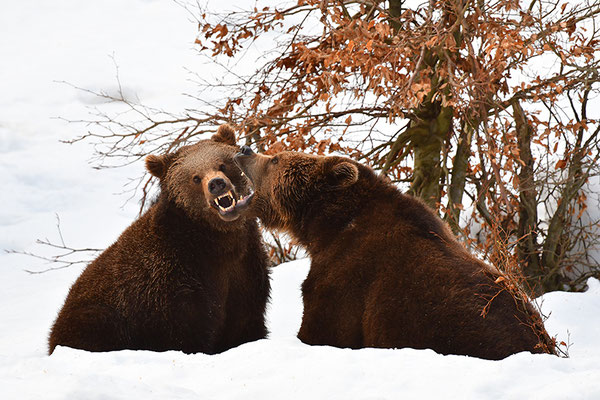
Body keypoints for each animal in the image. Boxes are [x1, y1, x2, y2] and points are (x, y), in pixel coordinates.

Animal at [49, 126, 270, 354]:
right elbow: (184, 333)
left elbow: (246, 322)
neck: (217, 242)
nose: (216, 184)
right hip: (96, 317)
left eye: (222, 164)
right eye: (195, 177)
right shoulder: (171, 285)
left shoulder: (245, 272)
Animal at [237, 146, 556, 360]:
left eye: (275, 158)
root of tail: (542, 343)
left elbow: (326, 329)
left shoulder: (347, 276)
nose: (244, 149)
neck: (326, 227)